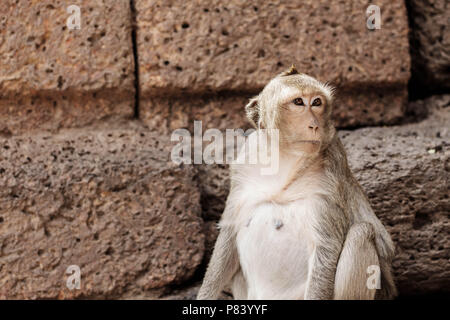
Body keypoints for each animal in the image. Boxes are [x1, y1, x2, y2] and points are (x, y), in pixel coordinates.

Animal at [198, 65, 398, 300]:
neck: (284, 158)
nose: (314, 125)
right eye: (298, 102)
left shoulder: (329, 179)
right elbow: (228, 237)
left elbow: (327, 248)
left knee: (361, 233)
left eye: (317, 102)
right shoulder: (242, 172)